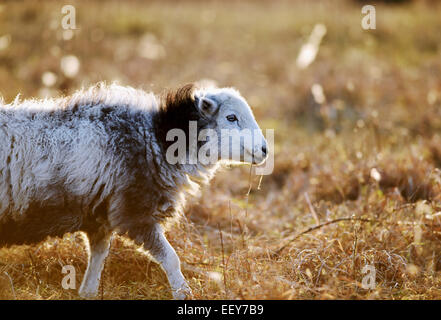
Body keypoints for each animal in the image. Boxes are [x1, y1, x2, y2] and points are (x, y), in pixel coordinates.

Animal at [0, 82, 268, 298]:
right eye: (231, 118)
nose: (265, 150)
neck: (157, 140)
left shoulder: (101, 217)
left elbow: (98, 256)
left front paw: (88, 292)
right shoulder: (134, 213)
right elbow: (171, 258)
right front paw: (184, 293)